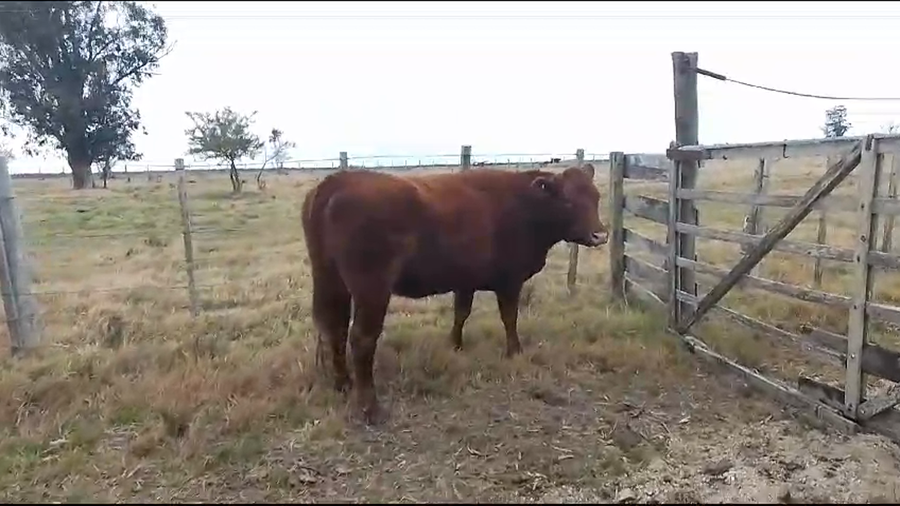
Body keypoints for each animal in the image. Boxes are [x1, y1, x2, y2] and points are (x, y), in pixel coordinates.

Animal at [301, 164, 608, 425]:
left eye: (596, 197)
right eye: (567, 201)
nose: (600, 235)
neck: (523, 205)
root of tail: (337, 181)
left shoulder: (465, 280)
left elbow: (461, 312)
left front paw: (455, 344)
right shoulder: (510, 281)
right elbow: (509, 317)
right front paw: (515, 351)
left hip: (330, 278)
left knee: (335, 328)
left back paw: (343, 383)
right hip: (371, 288)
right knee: (361, 339)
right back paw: (370, 408)